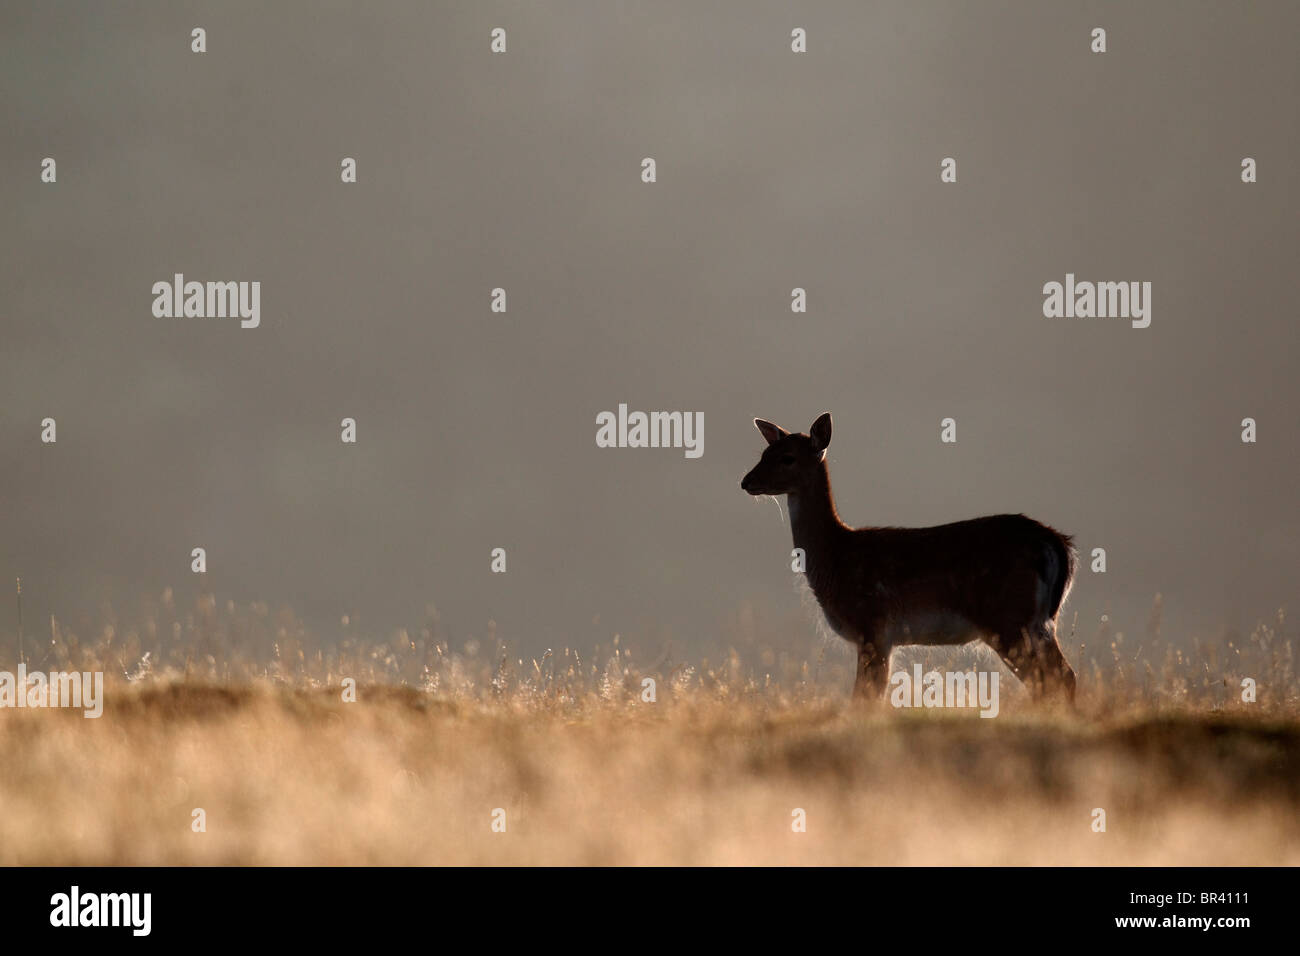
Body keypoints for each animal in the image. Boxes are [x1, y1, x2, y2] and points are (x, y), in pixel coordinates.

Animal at [743, 411, 1076, 702]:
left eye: (787, 458)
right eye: (764, 452)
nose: (746, 481)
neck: (835, 557)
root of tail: (1058, 544)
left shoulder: (873, 626)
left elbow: (864, 699)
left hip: (1009, 618)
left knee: (1050, 679)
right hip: (1037, 622)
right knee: (1062, 676)